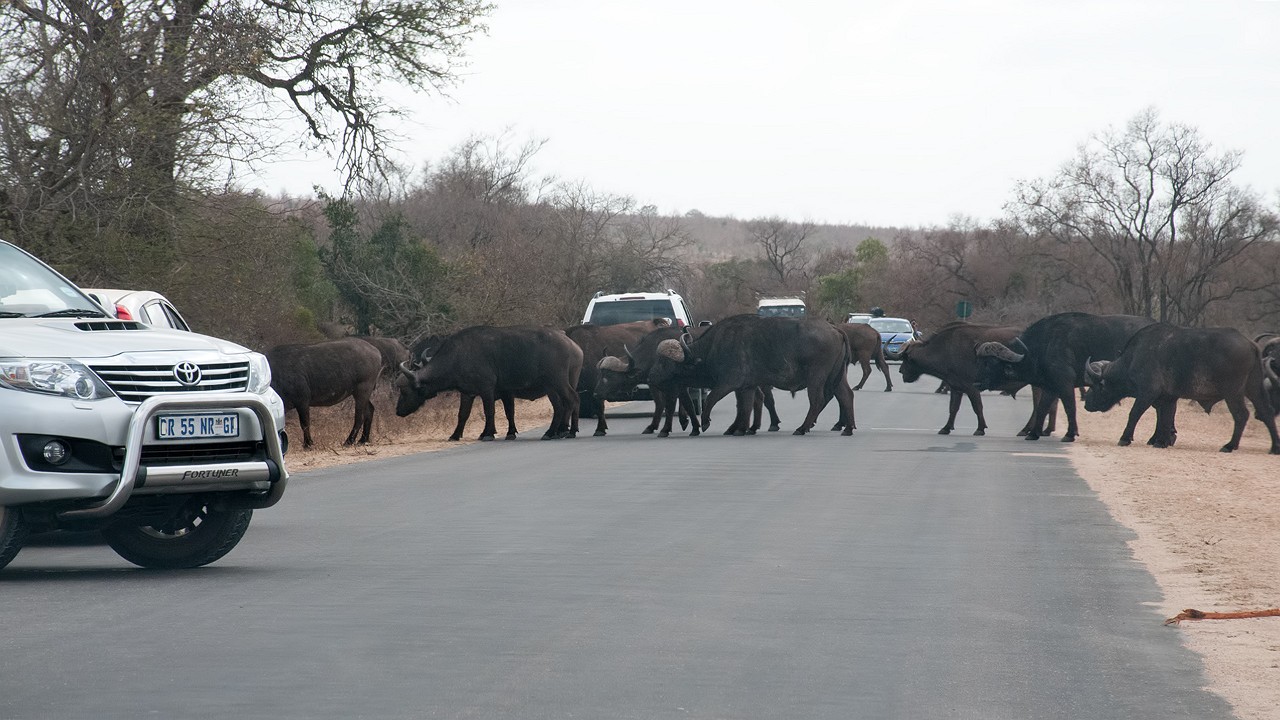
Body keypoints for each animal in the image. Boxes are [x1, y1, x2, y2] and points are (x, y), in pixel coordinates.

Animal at [395, 325, 583, 441]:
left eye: (404, 391)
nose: (397, 411)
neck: (458, 356)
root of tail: (572, 345)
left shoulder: (487, 390)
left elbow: (489, 411)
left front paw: (488, 434)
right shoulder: (468, 392)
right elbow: (463, 414)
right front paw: (455, 435)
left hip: (557, 383)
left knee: (571, 400)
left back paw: (562, 431)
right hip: (557, 386)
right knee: (565, 405)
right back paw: (562, 431)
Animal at [648, 315, 853, 436]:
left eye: (665, 362)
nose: (651, 376)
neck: (712, 348)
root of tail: (835, 329)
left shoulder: (728, 383)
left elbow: (712, 399)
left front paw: (706, 422)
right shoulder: (746, 387)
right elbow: (744, 407)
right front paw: (740, 429)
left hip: (816, 377)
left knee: (818, 399)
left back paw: (802, 428)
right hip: (836, 377)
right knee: (846, 395)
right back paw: (848, 428)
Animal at [974, 312, 1155, 442]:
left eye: (990, 364)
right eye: (983, 363)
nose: (976, 383)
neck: (1043, 346)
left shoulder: (1065, 384)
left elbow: (1070, 407)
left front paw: (1070, 434)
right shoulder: (1050, 387)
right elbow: (1042, 408)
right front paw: (1033, 433)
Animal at [1083, 324, 1280, 454]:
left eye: (1095, 386)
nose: (1086, 404)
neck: (1133, 357)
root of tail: (1250, 344)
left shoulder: (1147, 393)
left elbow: (1135, 414)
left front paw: (1125, 438)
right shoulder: (1168, 398)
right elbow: (1165, 417)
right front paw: (1162, 441)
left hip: (1233, 392)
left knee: (1241, 415)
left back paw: (1229, 445)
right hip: (1254, 389)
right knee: (1266, 411)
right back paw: (1275, 447)